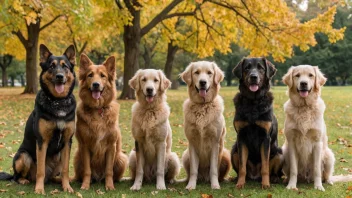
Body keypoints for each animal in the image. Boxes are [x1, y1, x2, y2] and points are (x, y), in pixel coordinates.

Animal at [0, 44, 77, 194]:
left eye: (65, 66)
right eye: (51, 66)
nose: (60, 76)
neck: (57, 102)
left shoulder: (67, 142)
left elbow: (66, 170)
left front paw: (67, 187)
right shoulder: (42, 142)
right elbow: (40, 170)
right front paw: (39, 189)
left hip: (59, 158)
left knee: (55, 175)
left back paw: (59, 181)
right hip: (22, 156)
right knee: (18, 177)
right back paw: (24, 180)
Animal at [73, 53, 129, 190]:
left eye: (103, 75)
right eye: (90, 75)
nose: (96, 84)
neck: (98, 109)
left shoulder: (111, 146)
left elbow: (109, 170)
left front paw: (109, 186)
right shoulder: (85, 145)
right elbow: (87, 170)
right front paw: (85, 185)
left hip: (121, 158)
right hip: (77, 156)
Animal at [179, 61, 231, 189]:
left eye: (209, 73)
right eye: (196, 72)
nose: (203, 82)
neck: (202, 106)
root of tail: (203, 178)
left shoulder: (215, 142)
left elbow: (213, 170)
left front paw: (215, 185)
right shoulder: (192, 142)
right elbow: (193, 170)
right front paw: (191, 186)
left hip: (225, 154)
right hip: (185, 155)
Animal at [231, 56, 284, 189]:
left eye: (261, 68)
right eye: (247, 68)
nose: (253, 76)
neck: (253, 102)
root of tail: (255, 176)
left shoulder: (265, 138)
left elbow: (265, 166)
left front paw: (265, 184)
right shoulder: (241, 137)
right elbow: (242, 167)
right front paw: (240, 183)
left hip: (279, 153)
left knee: (274, 172)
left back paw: (273, 178)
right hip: (233, 151)